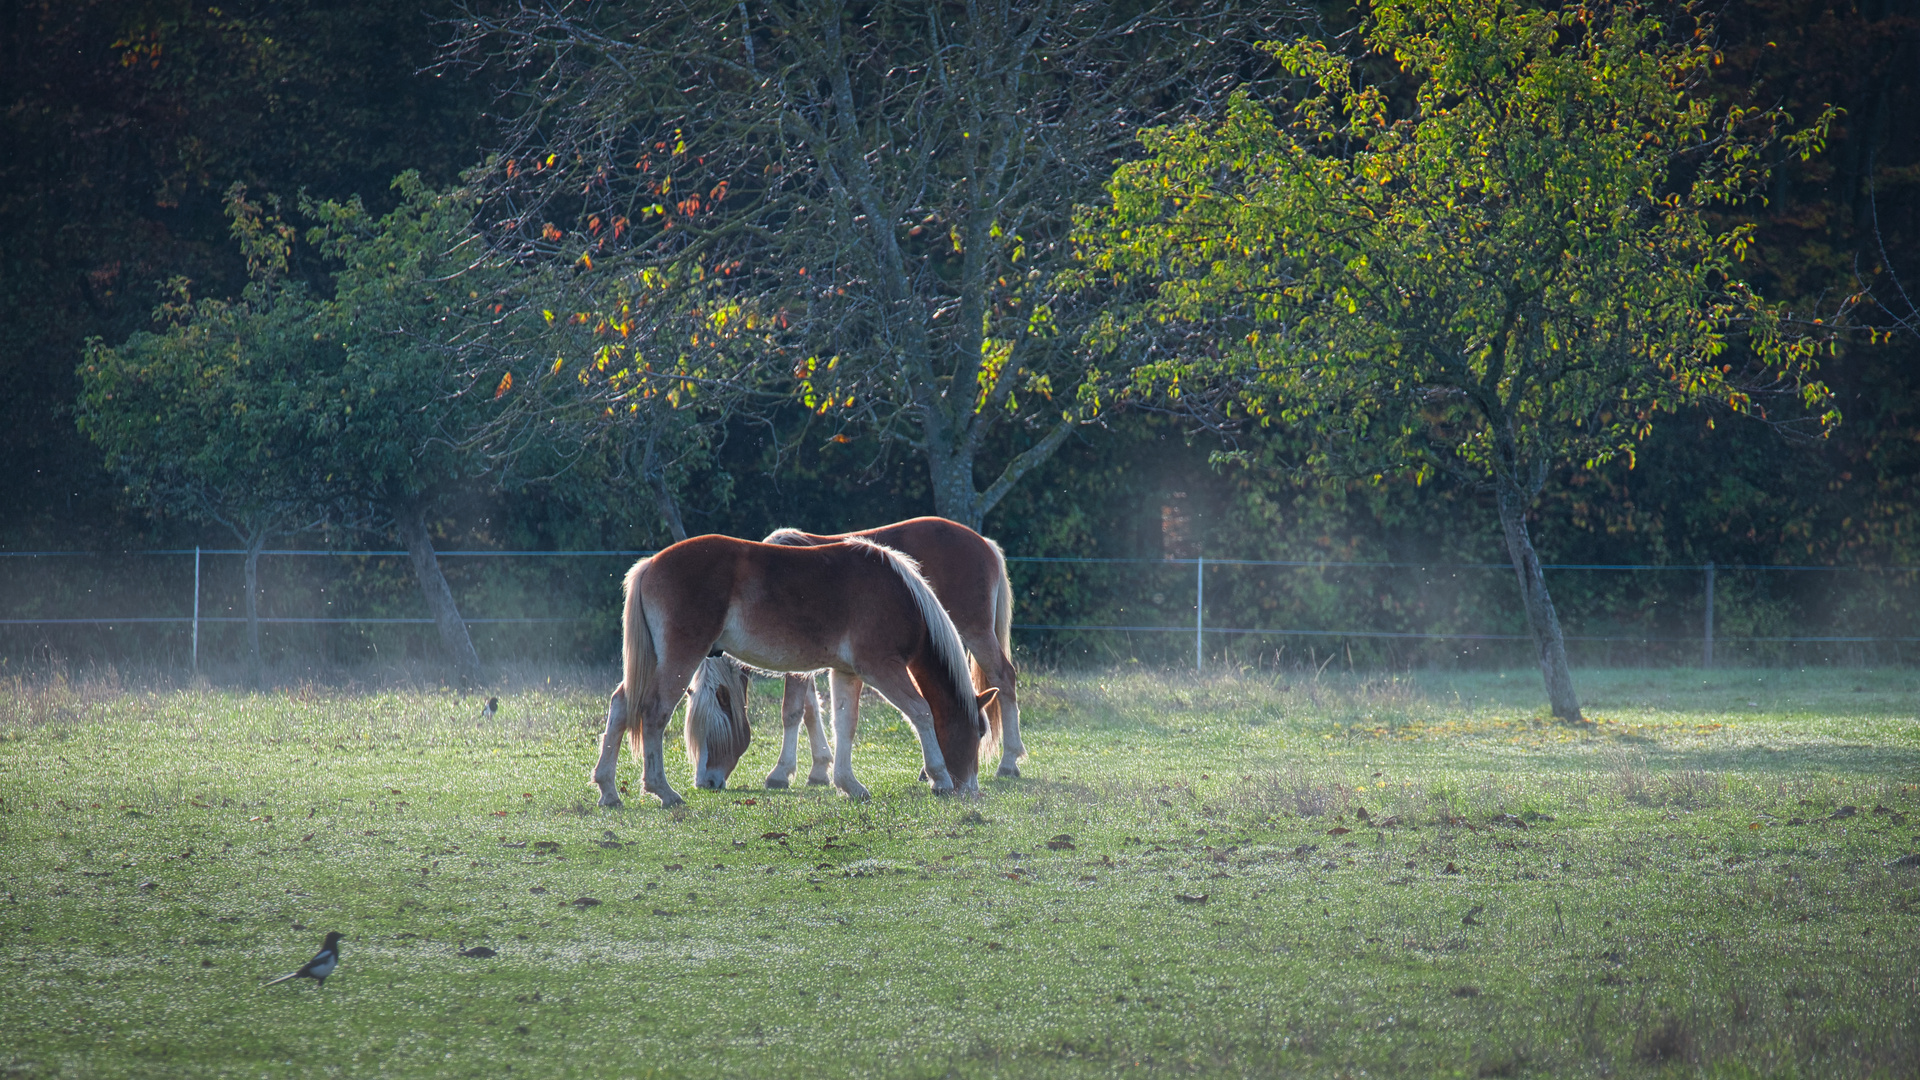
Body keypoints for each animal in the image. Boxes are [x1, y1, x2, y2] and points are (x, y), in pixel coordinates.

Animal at [591, 534, 998, 803]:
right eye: (979, 732)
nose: (971, 788)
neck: (900, 594)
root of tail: (651, 564)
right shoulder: (881, 669)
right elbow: (921, 712)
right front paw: (940, 778)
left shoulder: (846, 673)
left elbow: (844, 725)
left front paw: (848, 784)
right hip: (680, 657)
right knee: (654, 712)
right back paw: (662, 790)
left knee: (622, 705)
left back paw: (609, 790)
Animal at [683, 518, 1029, 787]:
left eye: (713, 729)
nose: (705, 783)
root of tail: (984, 542)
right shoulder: (810, 661)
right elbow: (812, 709)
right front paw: (819, 769)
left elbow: (792, 711)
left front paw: (781, 773)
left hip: (975, 632)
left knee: (1004, 677)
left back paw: (1008, 762)